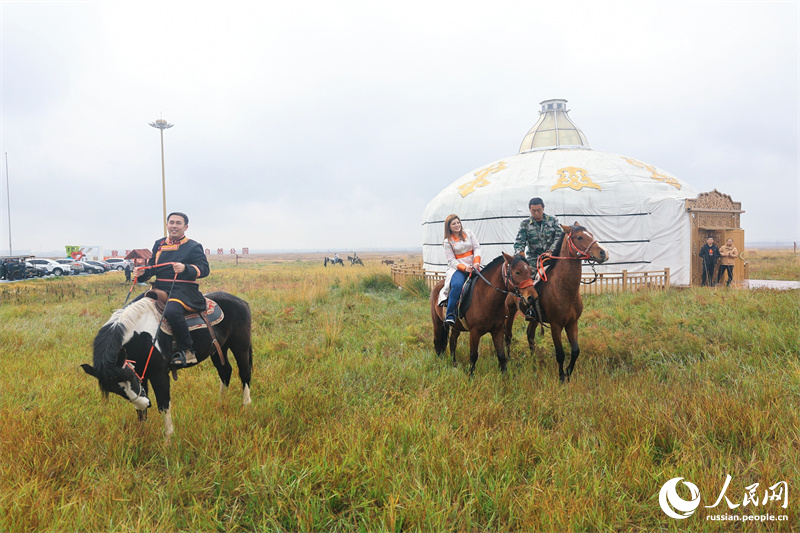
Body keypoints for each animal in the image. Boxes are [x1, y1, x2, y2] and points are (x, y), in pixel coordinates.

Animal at [82, 290, 252, 436]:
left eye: (130, 379)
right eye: (116, 390)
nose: (145, 403)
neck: (141, 335)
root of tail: (240, 301)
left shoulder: (159, 375)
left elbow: (164, 405)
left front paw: (168, 439)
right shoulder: (142, 375)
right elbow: (140, 412)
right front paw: (141, 434)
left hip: (240, 346)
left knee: (244, 372)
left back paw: (246, 405)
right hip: (219, 349)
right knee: (225, 371)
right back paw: (220, 404)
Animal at [504, 221, 608, 382]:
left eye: (590, 234)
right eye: (579, 237)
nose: (603, 253)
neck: (565, 289)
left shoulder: (572, 323)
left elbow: (575, 351)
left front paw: (568, 373)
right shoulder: (556, 325)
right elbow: (560, 354)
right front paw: (561, 377)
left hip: (534, 318)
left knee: (530, 336)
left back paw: (534, 360)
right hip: (509, 311)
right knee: (508, 336)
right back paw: (509, 359)